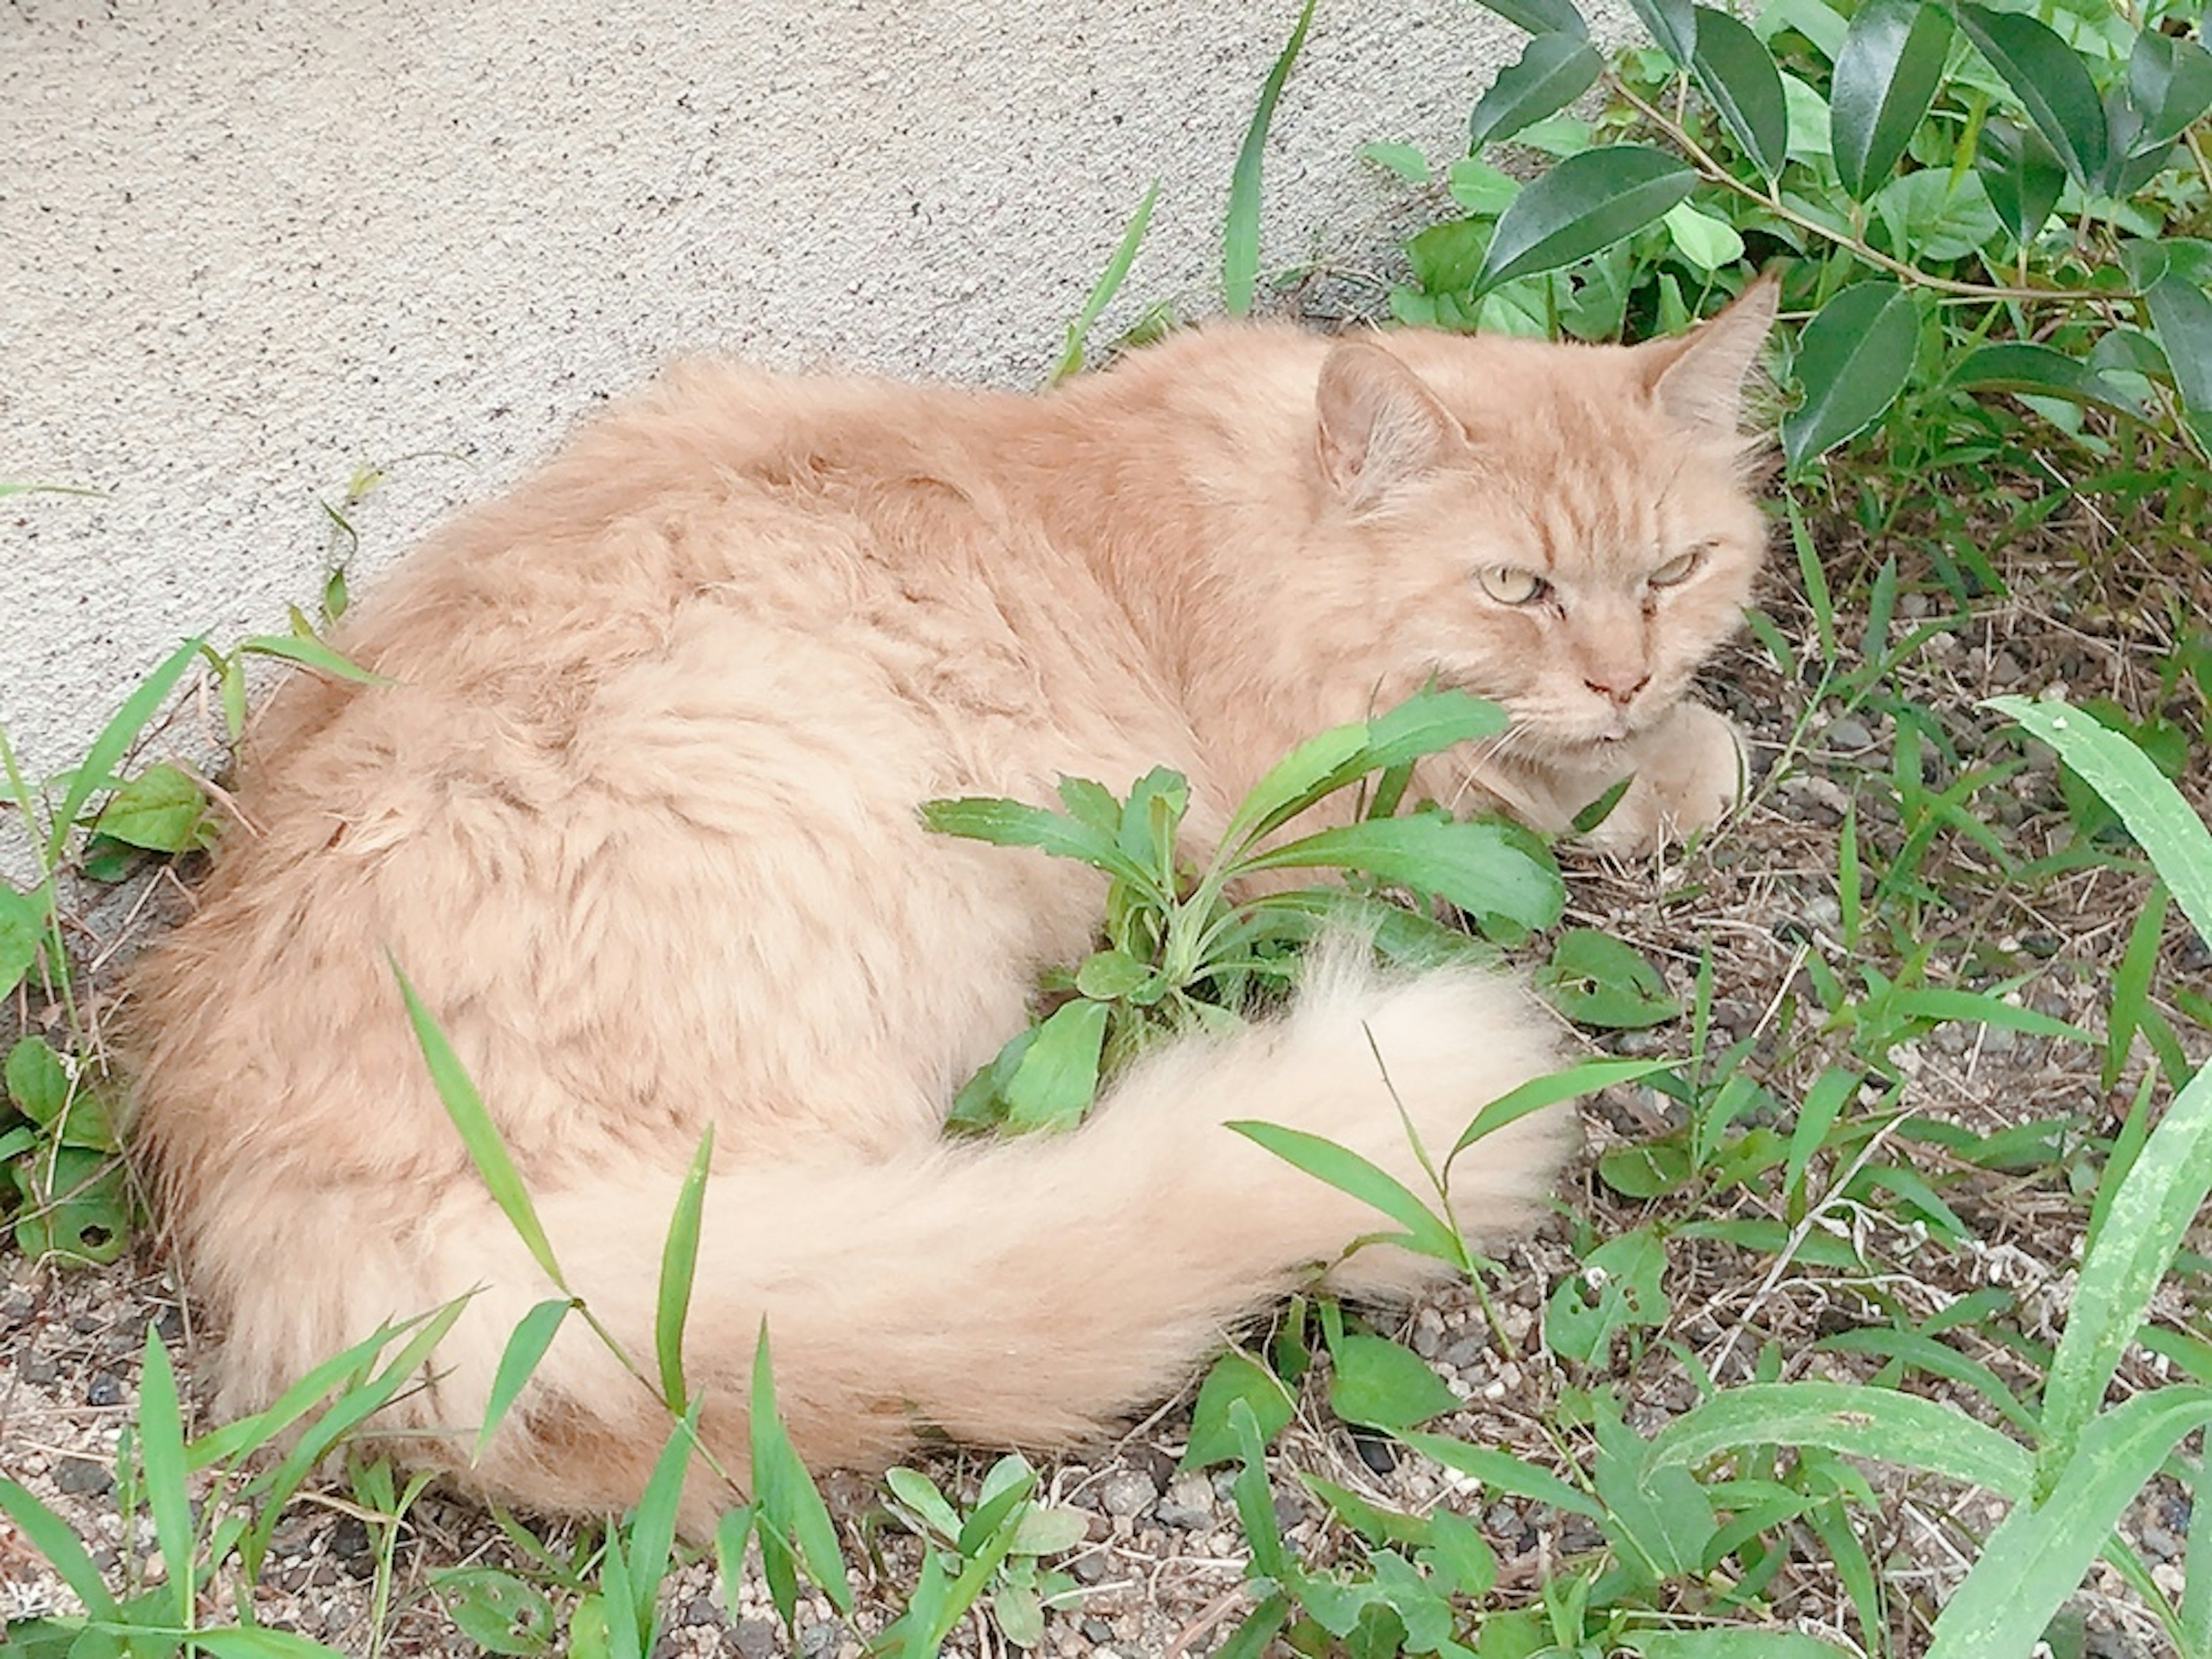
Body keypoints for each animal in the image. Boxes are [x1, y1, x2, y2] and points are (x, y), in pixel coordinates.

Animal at [125, 279, 1778, 1531]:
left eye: (1679, 568)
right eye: (1515, 588)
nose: (1623, 674)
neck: (1251, 516)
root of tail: (312, 1218)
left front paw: (1668, 738)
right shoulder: (1320, 808)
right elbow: (1537, 783)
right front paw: (1677, 763)